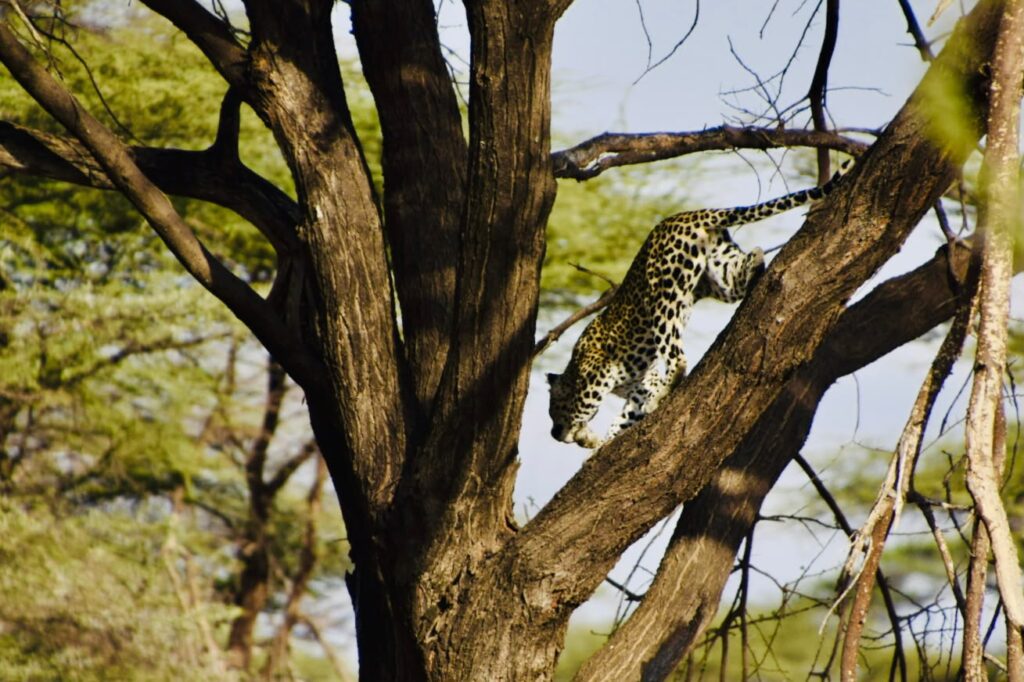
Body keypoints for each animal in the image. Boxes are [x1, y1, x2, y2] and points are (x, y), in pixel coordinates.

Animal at [546, 165, 850, 449]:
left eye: (552, 413)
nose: (554, 434)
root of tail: (690, 215)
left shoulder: (595, 379)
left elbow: (589, 406)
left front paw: (587, 436)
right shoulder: (640, 383)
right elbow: (626, 414)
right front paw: (604, 441)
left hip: (664, 297)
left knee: (678, 357)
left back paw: (665, 390)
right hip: (721, 275)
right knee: (751, 260)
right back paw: (756, 265)